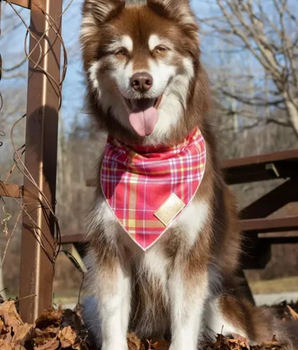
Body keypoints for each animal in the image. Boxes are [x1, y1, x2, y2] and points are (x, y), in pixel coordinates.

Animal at [79, 0, 296, 350]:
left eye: (161, 49)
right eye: (120, 52)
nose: (141, 81)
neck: (153, 156)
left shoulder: (191, 252)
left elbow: (184, 322)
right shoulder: (111, 250)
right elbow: (113, 322)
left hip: (219, 303)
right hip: (89, 304)